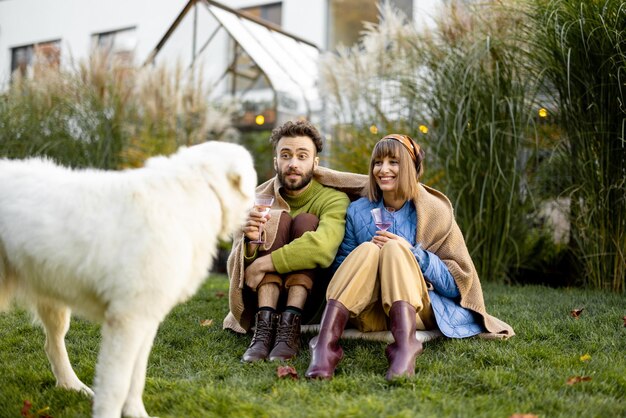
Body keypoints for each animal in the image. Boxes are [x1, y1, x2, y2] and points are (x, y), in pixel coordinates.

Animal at [0, 141, 256, 418]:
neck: (198, 189)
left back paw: (71, 385)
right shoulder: (127, 320)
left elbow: (137, 375)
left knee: (52, 343)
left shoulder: (146, 319)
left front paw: (135, 412)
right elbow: (117, 385)